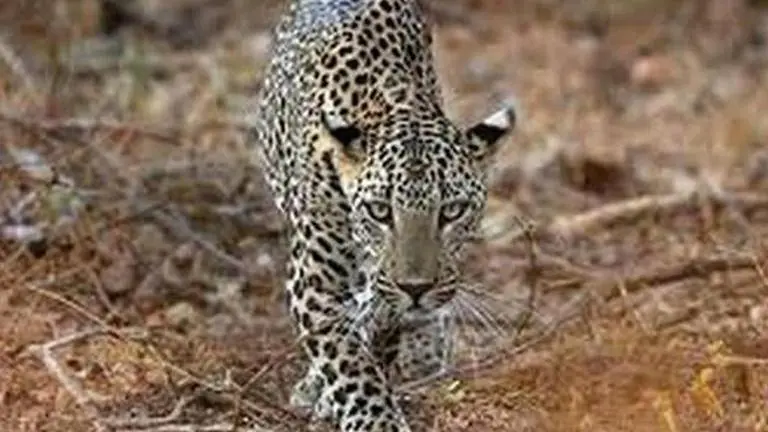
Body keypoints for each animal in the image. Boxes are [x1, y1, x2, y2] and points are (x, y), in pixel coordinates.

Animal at [247, 0, 517, 430]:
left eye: (452, 211)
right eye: (379, 211)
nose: (416, 288)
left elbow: (378, 332)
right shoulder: (314, 280)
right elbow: (347, 361)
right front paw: (374, 417)